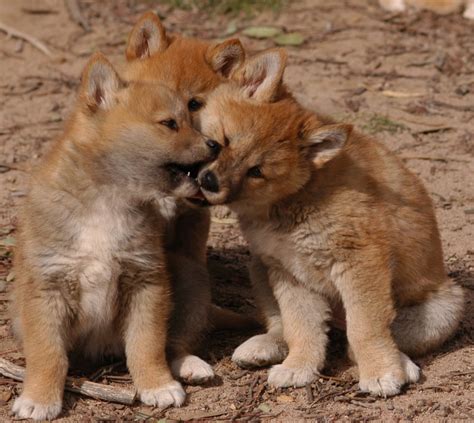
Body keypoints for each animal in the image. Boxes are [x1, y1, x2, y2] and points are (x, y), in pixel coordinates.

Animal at [11, 53, 218, 420]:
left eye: (190, 119)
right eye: (170, 124)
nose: (216, 145)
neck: (108, 201)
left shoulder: (147, 282)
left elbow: (147, 345)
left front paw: (156, 384)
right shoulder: (46, 289)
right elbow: (48, 354)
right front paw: (39, 397)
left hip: (189, 279)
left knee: (176, 343)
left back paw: (190, 365)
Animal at [194, 49, 464, 398]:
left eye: (256, 171)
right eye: (216, 143)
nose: (209, 182)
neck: (295, 198)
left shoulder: (360, 262)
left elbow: (365, 328)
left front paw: (381, 371)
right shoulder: (289, 273)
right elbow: (301, 327)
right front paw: (299, 367)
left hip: (444, 308)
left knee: (365, 338)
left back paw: (399, 363)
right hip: (259, 269)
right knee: (283, 326)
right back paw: (265, 347)